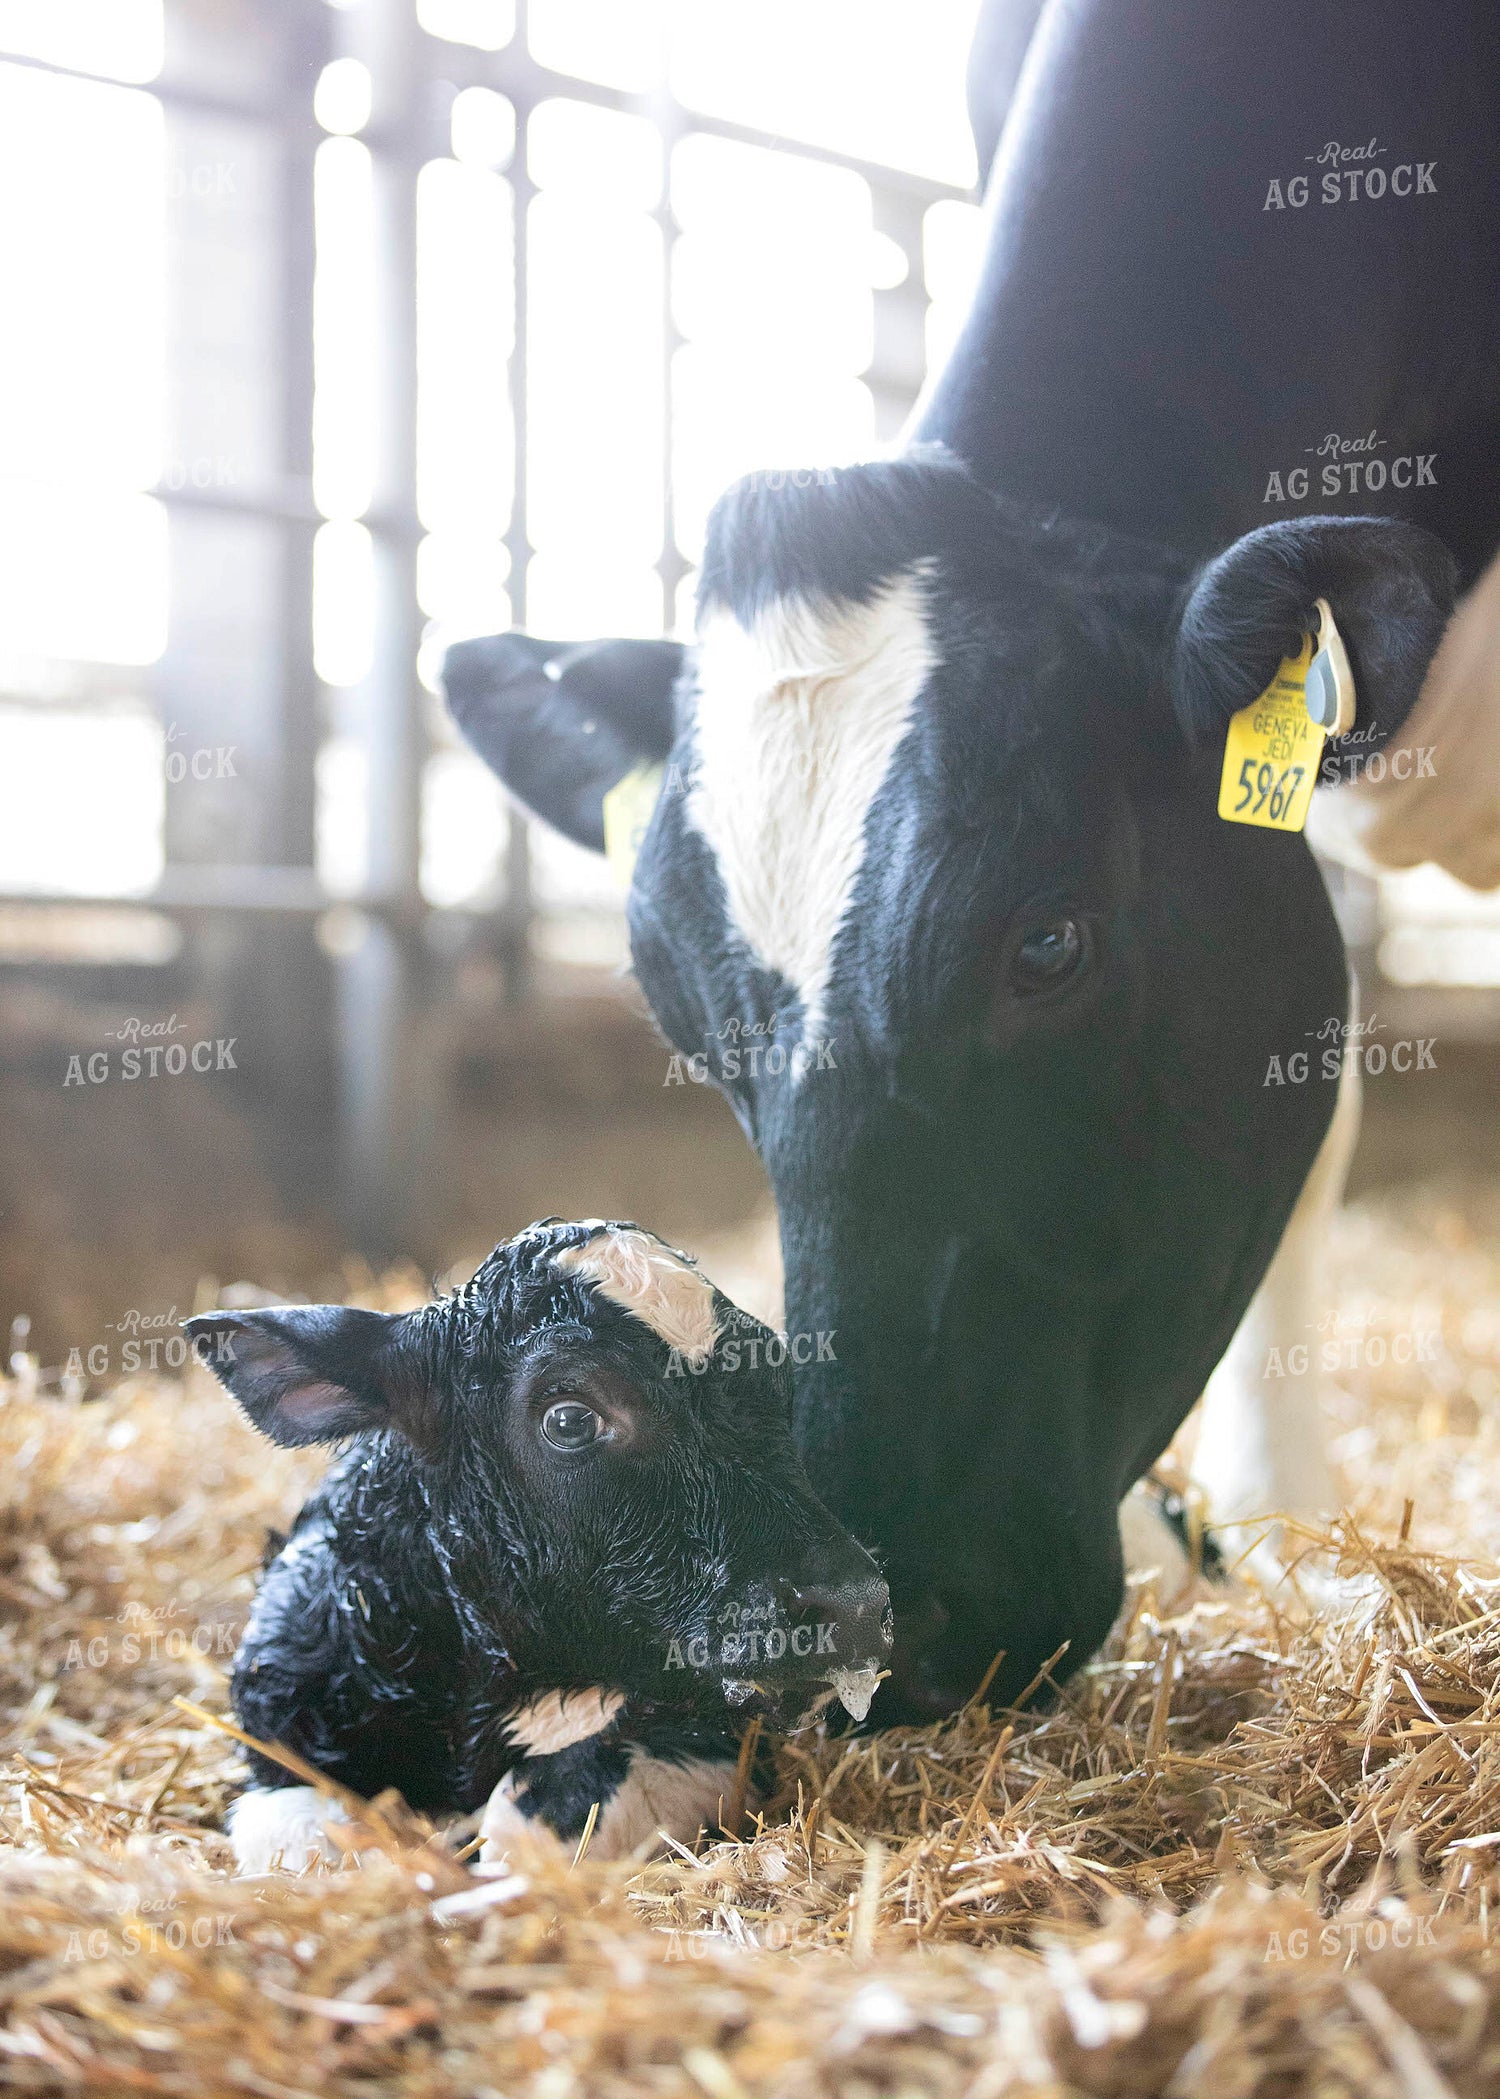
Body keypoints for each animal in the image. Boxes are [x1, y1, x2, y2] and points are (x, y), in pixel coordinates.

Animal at [185, 1219, 892, 1871]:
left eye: (778, 1386)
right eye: (571, 1418)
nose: (854, 1603)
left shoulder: (707, 1740)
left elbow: (534, 1823)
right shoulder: (278, 1726)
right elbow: (320, 1850)